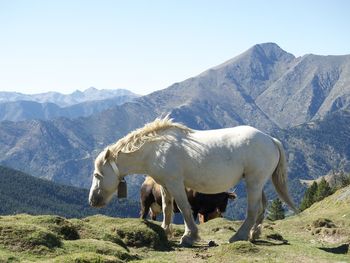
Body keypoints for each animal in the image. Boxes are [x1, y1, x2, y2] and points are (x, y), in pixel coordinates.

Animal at [89, 116, 296, 246]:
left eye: (98, 175)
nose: (92, 201)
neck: (156, 149)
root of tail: (271, 139)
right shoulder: (165, 185)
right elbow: (167, 208)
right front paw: (165, 231)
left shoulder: (176, 183)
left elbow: (184, 208)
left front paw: (189, 236)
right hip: (258, 183)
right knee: (262, 207)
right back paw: (253, 234)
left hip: (254, 182)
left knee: (253, 210)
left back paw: (238, 236)